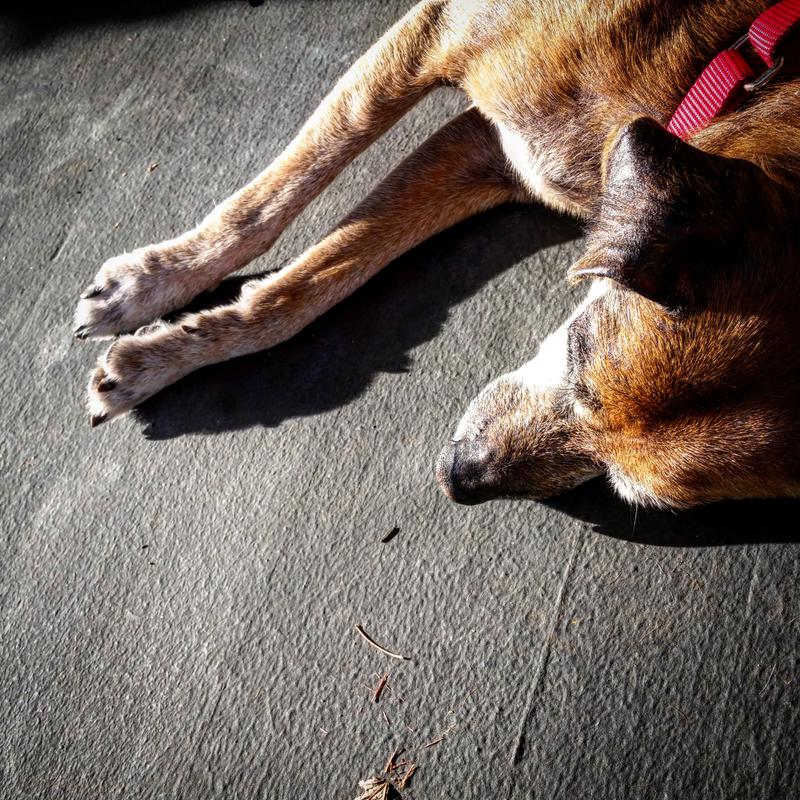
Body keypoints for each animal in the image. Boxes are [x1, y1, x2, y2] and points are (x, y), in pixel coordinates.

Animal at [73, 0, 800, 510]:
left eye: (623, 484)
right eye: (576, 354)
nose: (458, 479)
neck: (721, 67)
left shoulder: (488, 153)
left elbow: (309, 287)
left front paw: (162, 352)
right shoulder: (438, 34)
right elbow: (277, 196)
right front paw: (152, 287)